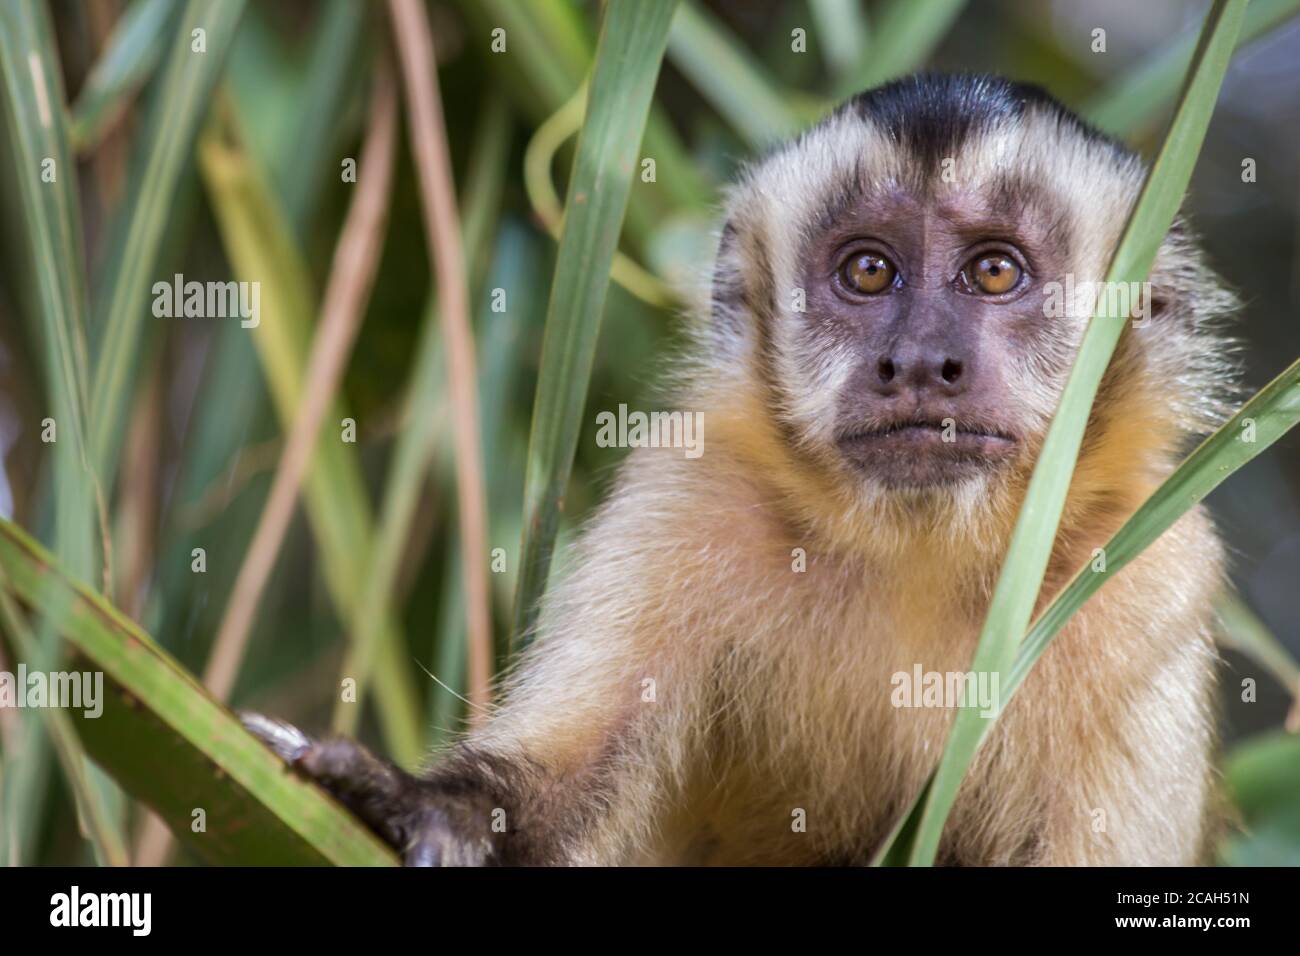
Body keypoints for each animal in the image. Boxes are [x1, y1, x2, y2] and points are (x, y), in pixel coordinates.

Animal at [245, 74, 1237, 868]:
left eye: (995, 273)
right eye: (868, 271)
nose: (921, 362)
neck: (921, 548)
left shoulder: (1147, 570)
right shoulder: (689, 491)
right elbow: (561, 788)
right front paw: (420, 809)